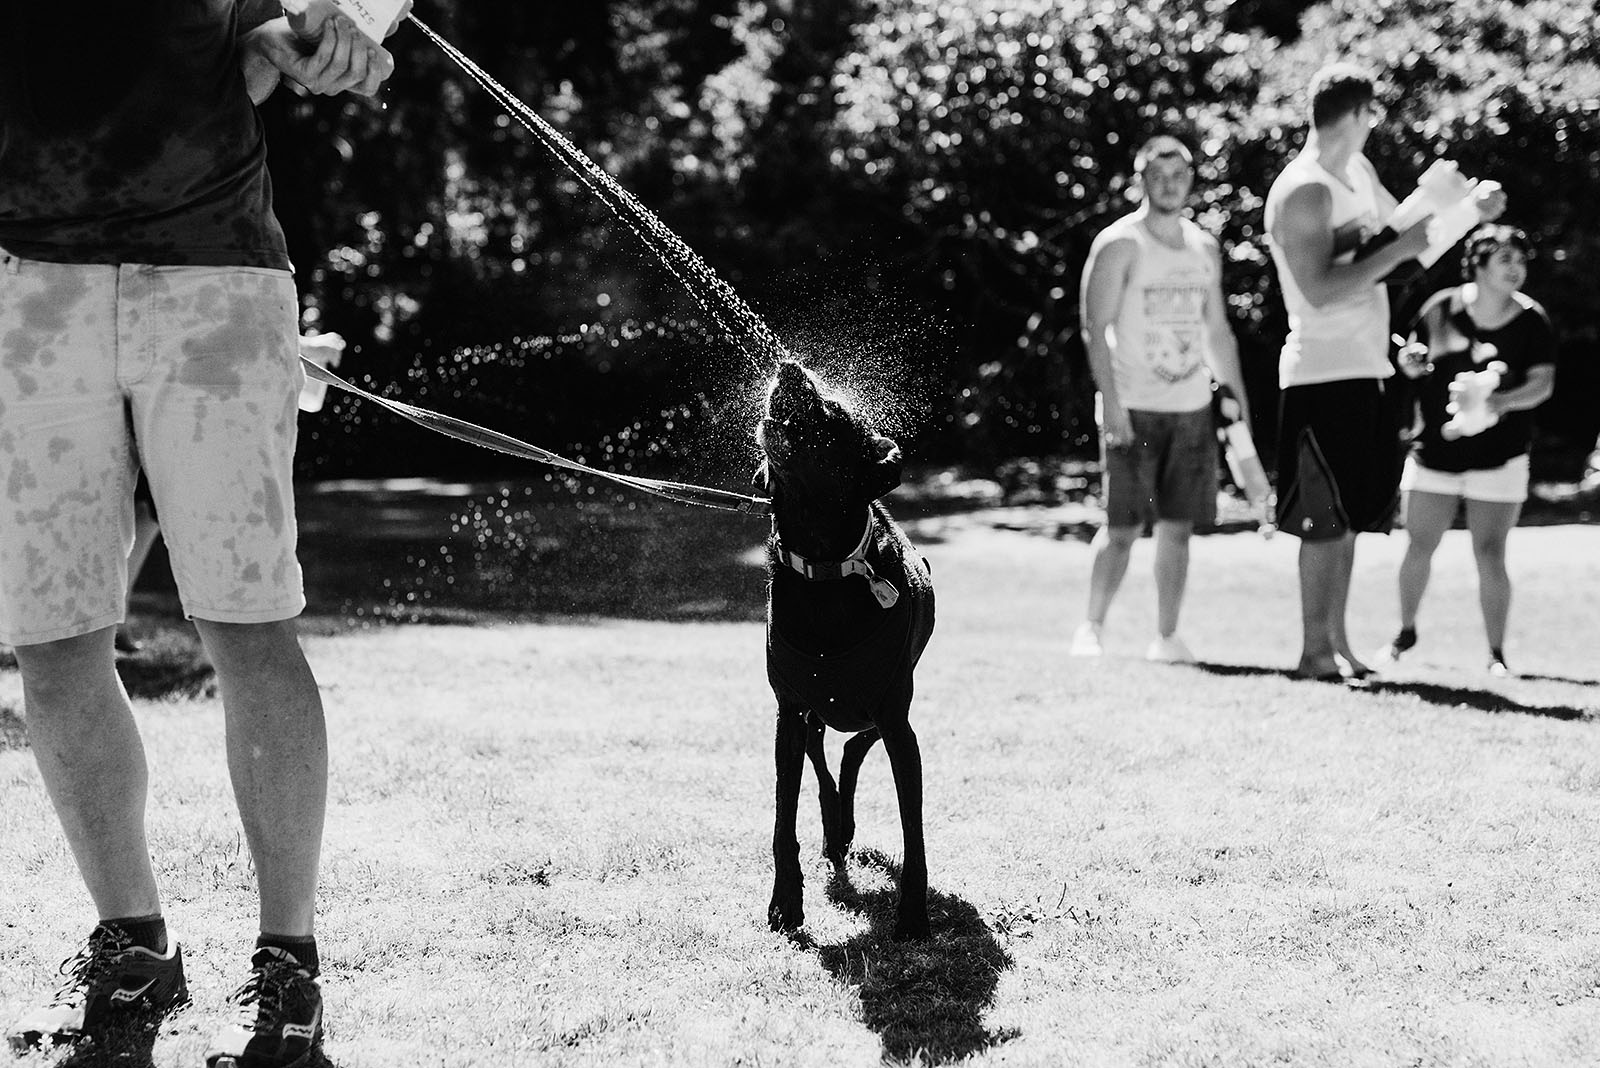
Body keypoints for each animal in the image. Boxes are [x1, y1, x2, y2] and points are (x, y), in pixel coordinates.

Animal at [752, 361, 934, 940]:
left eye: (833, 413)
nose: (789, 367)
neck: (825, 567)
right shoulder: (787, 713)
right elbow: (783, 819)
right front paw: (785, 904)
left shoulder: (898, 719)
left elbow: (913, 830)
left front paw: (913, 915)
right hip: (814, 713)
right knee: (827, 752)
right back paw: (835, 830)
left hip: (887, 704)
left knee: (854, 746)